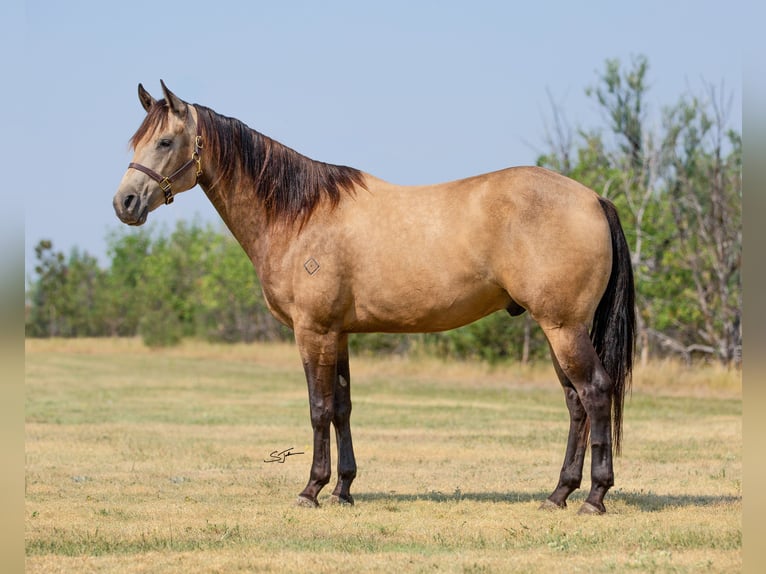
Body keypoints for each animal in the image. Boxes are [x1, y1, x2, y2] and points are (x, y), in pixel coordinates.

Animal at [112, 81, 636, 516]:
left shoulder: (314, 331)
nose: (125, 203)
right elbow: (342, 407)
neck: (299, 215)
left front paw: (311, 489)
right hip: (556, 330)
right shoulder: (338, 333)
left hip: (564, 328)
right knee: (575, 404)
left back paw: (594, 497)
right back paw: (559, 493)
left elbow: (318, 408)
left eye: (165, 142)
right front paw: (343, 489)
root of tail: (593, 198)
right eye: (135, 142)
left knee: (594, 393)